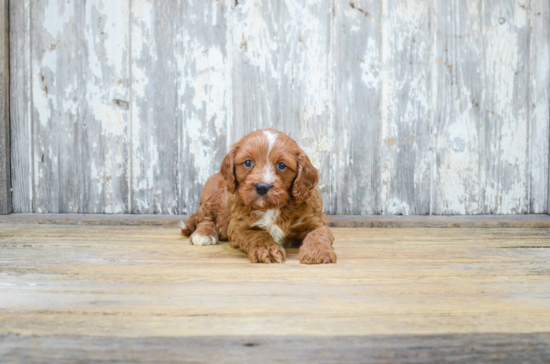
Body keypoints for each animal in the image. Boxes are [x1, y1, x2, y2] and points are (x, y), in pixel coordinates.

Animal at [181, 129, 336, 264]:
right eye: (248, 162)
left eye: (281, 165)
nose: (262, 187)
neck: (271, 207)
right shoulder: (238, 226)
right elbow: (257, 234)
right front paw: (267, 249)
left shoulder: (315, 219)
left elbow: (319, 233)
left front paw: (318, 252)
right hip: (212, 193)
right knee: (204, 217)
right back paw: (204, 234)